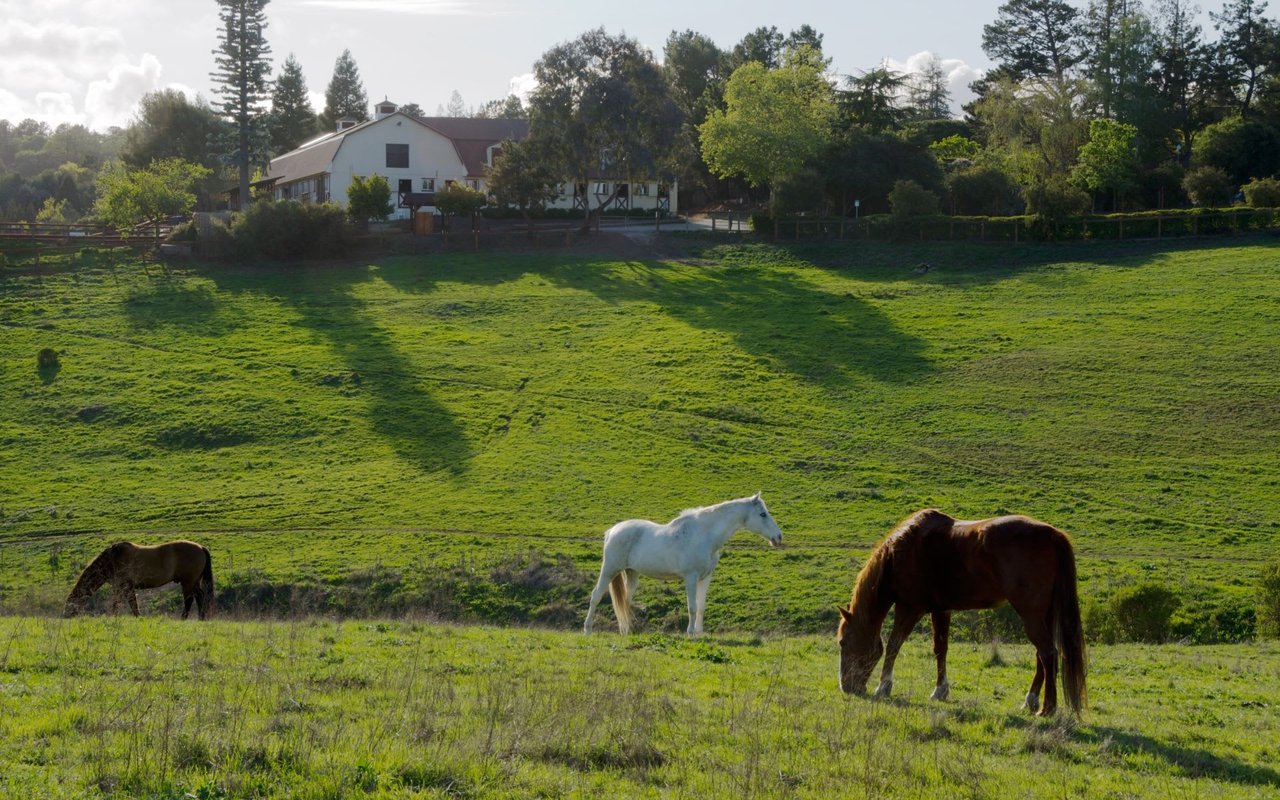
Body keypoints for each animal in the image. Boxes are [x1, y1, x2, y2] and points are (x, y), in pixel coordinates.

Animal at [65, 540, 216, 622]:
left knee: (189, 600)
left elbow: (122, 603)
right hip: (194, 582)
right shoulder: (125, 587)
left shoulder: (123, 586)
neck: (112, 559)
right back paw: (201, 618)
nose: (65, 615)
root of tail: (201, 547)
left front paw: (114, 616)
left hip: (188, 582)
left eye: (70, 604)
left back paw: (184, 618)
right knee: (200, 597)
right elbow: (131, 604)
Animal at [586, 488, 783, 632]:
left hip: (632, 573)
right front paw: (690, 633)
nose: (778, 537)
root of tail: (612, 531)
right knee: (596, 596)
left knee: (625, 602)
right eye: (763, 514)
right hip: (609, 570)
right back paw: (588, 630)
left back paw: (626, 631)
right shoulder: (691, 577)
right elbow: (692, 607)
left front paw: (699, 633)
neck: (703, 535)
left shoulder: (705, 577)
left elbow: (701, 606)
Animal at [839, 512, 1090, 716]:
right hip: (1044, 615)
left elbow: (893, 645)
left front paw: (883, 686)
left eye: (843, 642)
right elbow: (940, 649)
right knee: (1042, 656)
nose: (845, 687)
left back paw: (1047, 708)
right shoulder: (941, 610)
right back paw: (1030, 701)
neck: (899, 553)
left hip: (1031, 615)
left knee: (1048, 653)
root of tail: (1053, 535)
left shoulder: (908, 608)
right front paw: (940, 690)